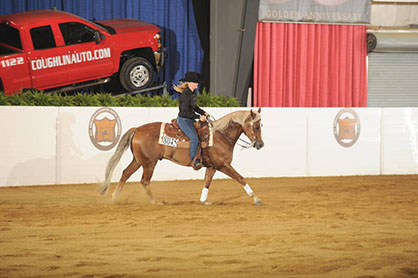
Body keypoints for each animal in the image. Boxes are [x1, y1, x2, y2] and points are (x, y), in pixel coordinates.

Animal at [100, 107, 264, 205]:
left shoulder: (212, 166)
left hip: (139, 161)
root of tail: (137, 129)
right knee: (144, 181)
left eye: (261, 126)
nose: (260, 144)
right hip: (149, 163)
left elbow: (207, 182)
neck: (220, 136)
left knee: (125, 174)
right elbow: (241, 178)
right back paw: (155, 202)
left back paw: (113, 199)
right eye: (256, 126)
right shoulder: (223, 165)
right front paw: (256, 198)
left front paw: (204, 200)